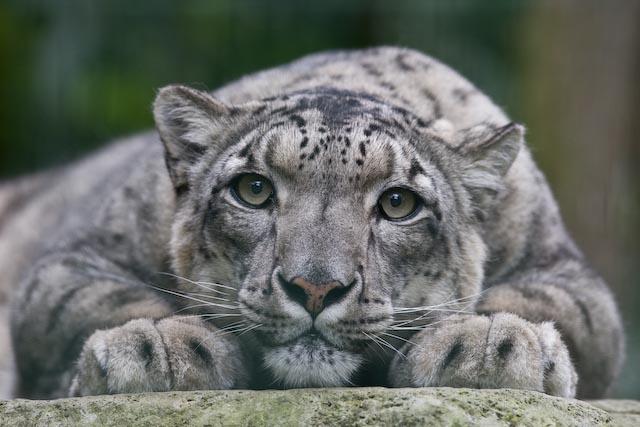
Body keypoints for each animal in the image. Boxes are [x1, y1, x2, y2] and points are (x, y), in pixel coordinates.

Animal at [0, 46, 624, 402]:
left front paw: (487, 343)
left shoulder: (569, 277)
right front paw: (159, 348)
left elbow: (538, 304)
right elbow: (104, 301)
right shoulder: (76, 261)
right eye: (253, 190)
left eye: (398, 203)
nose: (315, 287)